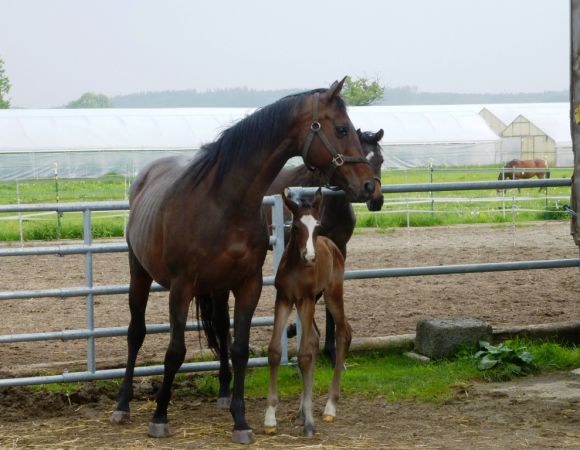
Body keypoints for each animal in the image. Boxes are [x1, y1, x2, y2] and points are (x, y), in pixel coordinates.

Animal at [266, 188, 352, 438]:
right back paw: (302, 411)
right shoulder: (284, 299)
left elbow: (304, 355)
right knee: (314, 339)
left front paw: (310, 422)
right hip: (313, 301)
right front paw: (270, 418)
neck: (296, 268)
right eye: (295, 227)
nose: (310, 257)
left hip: (332, 295)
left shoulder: (304, 300)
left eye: (317, 226)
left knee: (344, 333)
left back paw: (330, 407)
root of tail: (332, 245)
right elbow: (275, 351)